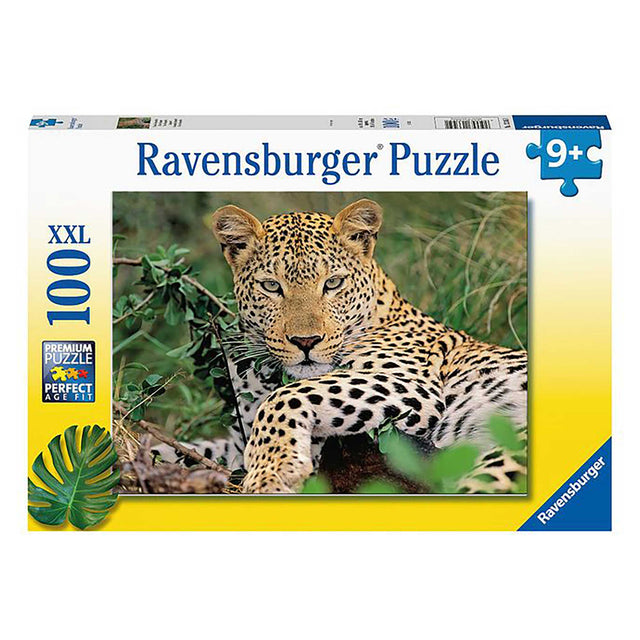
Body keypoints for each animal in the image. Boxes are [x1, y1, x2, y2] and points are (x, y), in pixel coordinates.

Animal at [152, 198, 527, 494]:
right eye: (271, 286)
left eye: (332, 283)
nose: (305, 341)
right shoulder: (236, 440)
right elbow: (184, 449)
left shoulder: (414, 386)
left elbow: (287, 396)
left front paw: (272, 471)